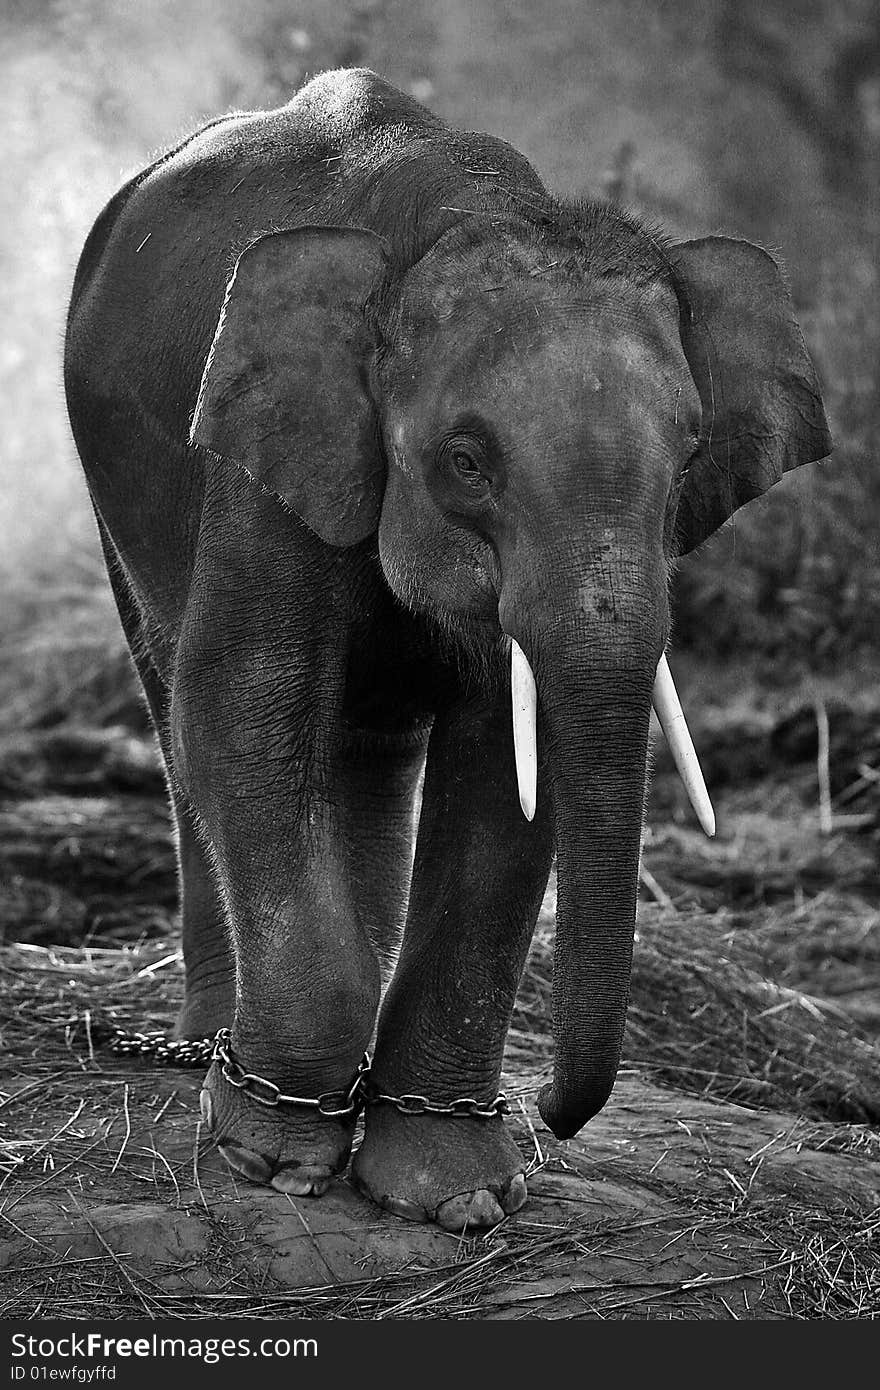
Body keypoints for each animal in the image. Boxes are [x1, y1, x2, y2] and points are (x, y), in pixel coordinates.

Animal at [63, 70, 828, 1234]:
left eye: (689, 457)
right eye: (466, 460)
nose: (554, 1114)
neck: (453, 216)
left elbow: (510, 767)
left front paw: (453, 1195)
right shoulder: (270, 448)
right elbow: (246, 701)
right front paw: (272, 1162)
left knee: (364, 745)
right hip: (113, 490)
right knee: (177, 706)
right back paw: (207, 1049)